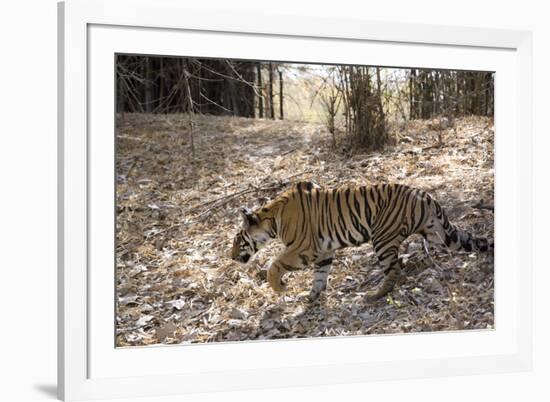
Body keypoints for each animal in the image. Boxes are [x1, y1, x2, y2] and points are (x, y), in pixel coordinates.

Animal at [231, 181, 494, 302]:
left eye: (237, 240)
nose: (231, 257)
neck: (272, 220)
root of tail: (426, 195)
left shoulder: (303, 248)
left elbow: (274, 265)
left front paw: (281, 287)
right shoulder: (324, 251)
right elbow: (320, 275)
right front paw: (313, 296)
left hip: (383, 238)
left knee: (394, 269)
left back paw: (374, 295)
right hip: (439, 233)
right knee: (470, 241)